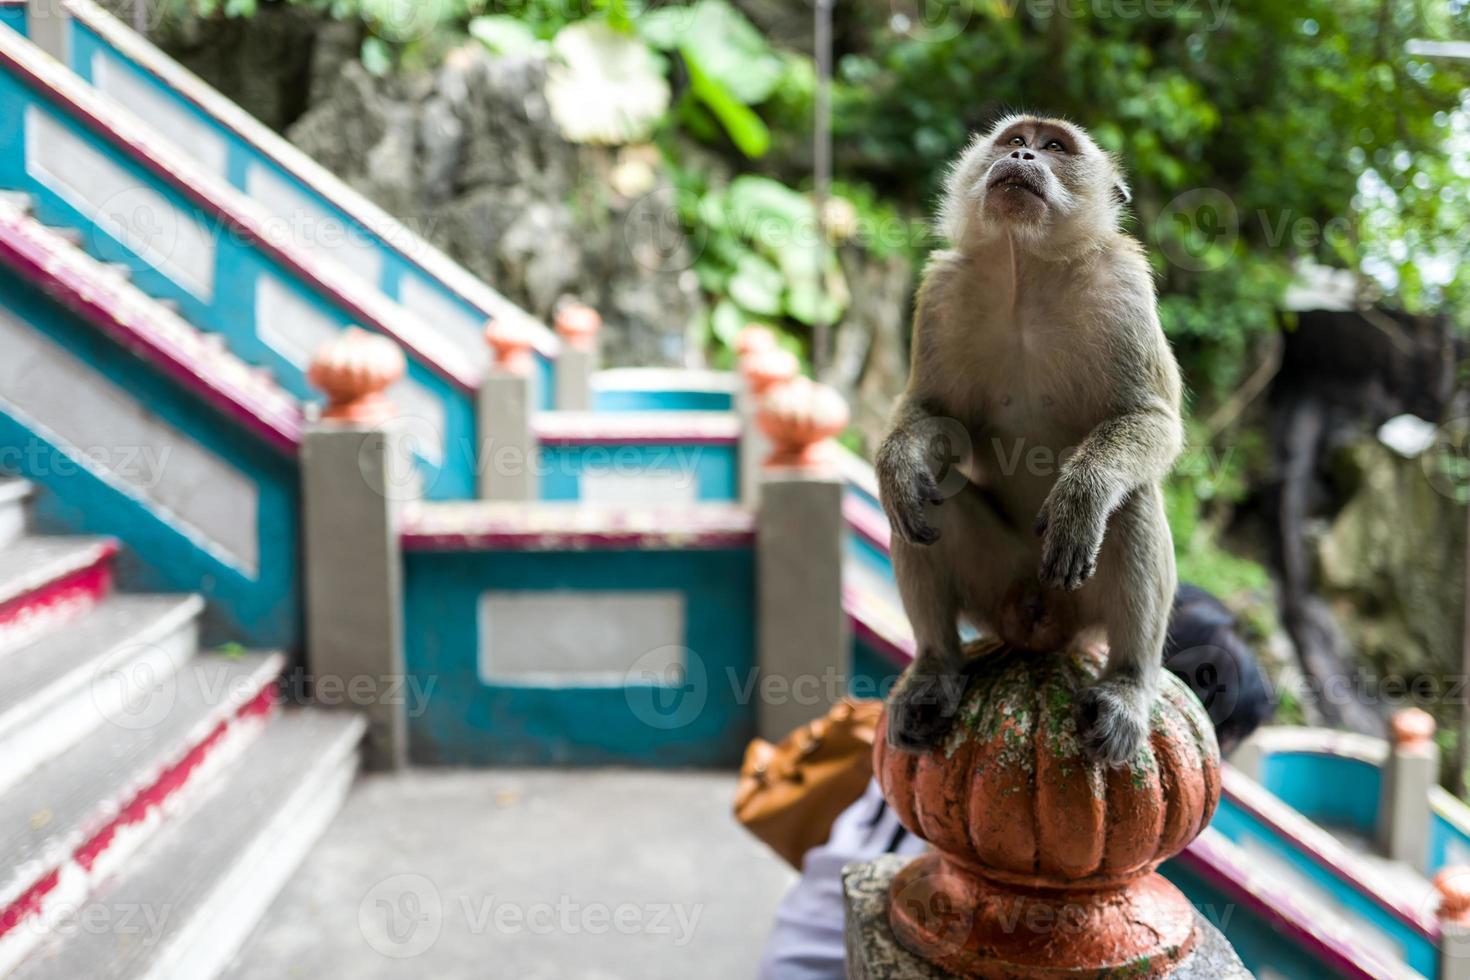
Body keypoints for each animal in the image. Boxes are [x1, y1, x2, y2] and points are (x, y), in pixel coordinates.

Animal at [870, 115, 1181, 769]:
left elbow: (1152, 419)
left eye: (1055, 146)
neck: (1025, 270)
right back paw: (935, 666)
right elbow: (933, 415)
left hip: (1077, 603)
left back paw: (1128, 684)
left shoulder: (1125, 284)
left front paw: (1084, 492)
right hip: (997, 581)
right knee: (921, 504)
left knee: (1134, 499)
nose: (1020, 156)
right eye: (1015, 139)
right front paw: (900, 461)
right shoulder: (942, 291)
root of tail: (1035, 622)